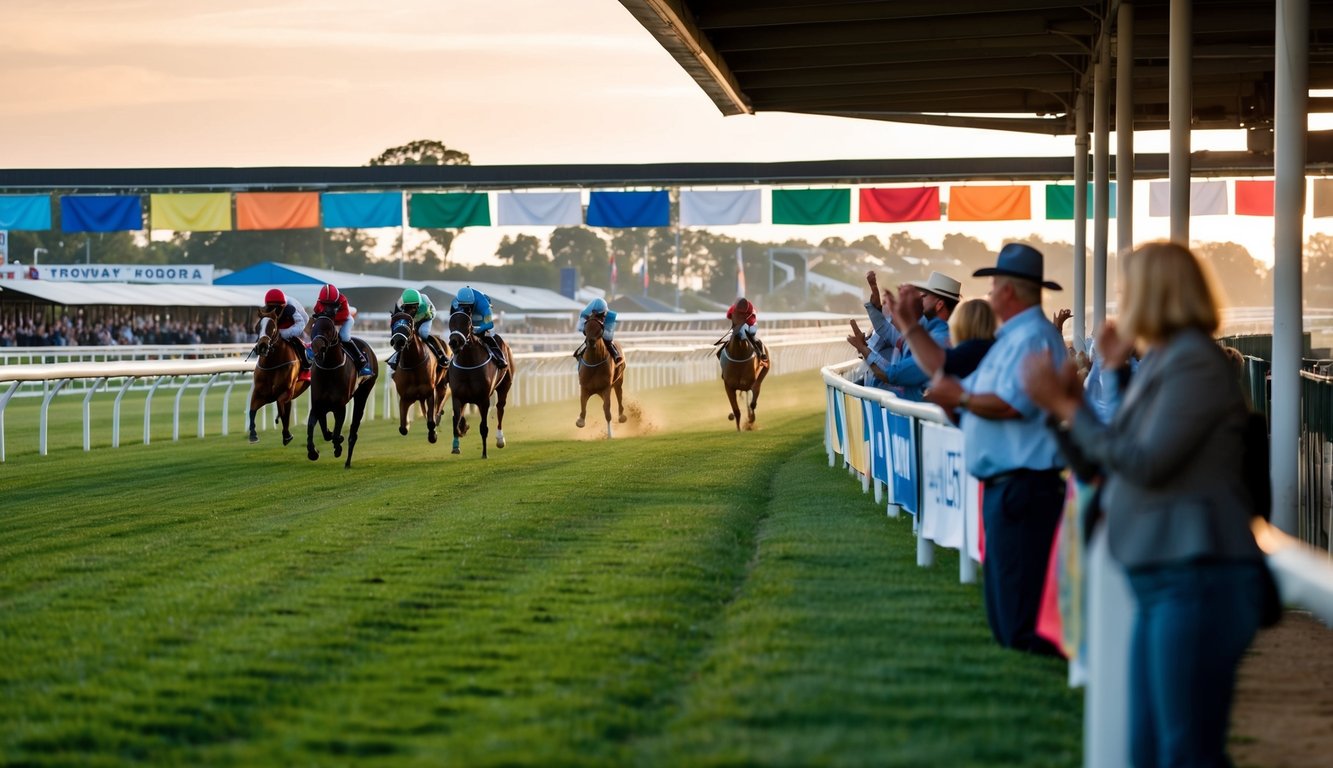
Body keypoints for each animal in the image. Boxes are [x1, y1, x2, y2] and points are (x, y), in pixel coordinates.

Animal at [245, 312, 306, 442]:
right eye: (258, 326)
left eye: (272, 327)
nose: (262, 346)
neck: (272, 364)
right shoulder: (260, 393)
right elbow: (252, 410)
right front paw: (252, 434)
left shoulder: (287, 391)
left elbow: (282, 408)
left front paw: (286, 434)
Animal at [305, 313, 378, 469]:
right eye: (313, 326)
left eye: (329, 329)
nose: (316, 348)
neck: (329, 370)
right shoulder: (318, 405)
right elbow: (313, 427)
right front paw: (313, 452)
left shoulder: (340, 407)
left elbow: (337, 431)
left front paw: (338, 446)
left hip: (363, 393)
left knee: (354, 429)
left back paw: (348, 461)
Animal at [389, 310, 450, 442]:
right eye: (392, 322)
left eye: (409, 322)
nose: (398, 340)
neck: (413, 364)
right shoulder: (405, 397)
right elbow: (403, 428)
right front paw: (407, 423)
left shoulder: (429, 392)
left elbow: (431, 421)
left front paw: (433, 435)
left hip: (442, 383)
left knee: (440, 403)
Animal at [445, 310, 511, 458]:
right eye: (450, 322)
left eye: (467, 322)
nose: (454, 342)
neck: (468, 362)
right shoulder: (457, 397)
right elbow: (456, 421)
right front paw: (457, 442)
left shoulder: (483, 399)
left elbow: (483, 427)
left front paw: (484, 453)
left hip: (504, 386)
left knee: (500, 408)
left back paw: (500, 439)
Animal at [719, 297, 773, 432]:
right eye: (734, 316)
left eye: (746, 317)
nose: (739, 333)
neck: (739, 354)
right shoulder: (728, 385)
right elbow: (736, 410)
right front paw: (739, 428)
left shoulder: (750, 382)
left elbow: (752, 402)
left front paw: (750, 421)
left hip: (763, 372)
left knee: (754, 397)